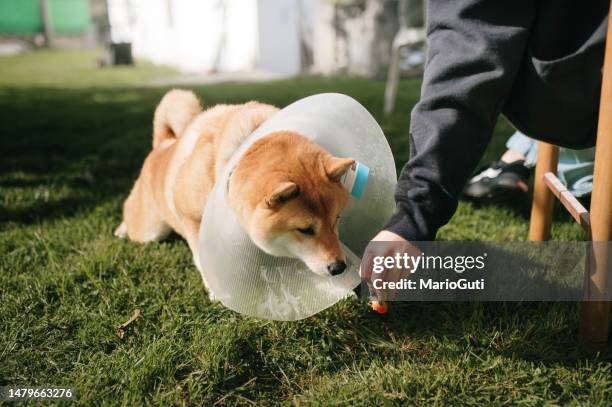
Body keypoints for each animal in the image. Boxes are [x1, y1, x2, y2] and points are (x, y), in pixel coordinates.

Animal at [115, 89, 354, 282]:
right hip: (150, 230)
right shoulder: (190, 215)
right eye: (304, 230)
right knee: (129, 212)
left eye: (336, 219)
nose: (339, 267)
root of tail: (163, 144)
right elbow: (202, 256)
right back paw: (121, 230)